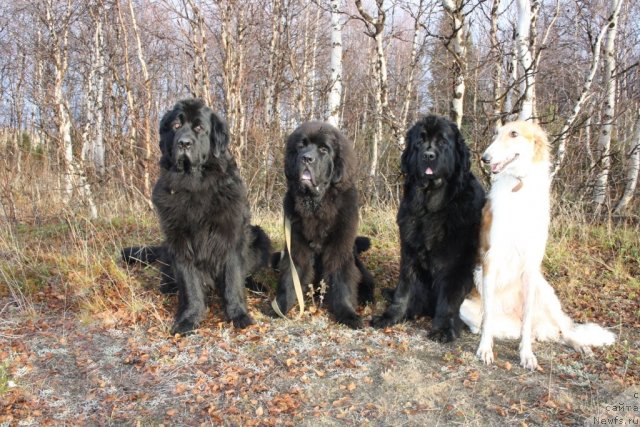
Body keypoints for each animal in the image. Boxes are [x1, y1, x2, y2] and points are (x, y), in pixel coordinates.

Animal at [370, 115, 484, 342]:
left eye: (442, 142)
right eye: (419, 142)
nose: (428, 155)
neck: (431, 207)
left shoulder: (457, 263)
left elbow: (449, 297)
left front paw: (443, 329)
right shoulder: (409, 252)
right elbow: (404, 290)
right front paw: (390, 316)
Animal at [460, 120, 616, 372]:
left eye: (514, 133)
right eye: (496, 134)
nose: (485, 158)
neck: (519, 185)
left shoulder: (531, 263)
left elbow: (527, 325)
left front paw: (526, 355)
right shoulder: (490, 258)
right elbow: (488, 321)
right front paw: (485, 349)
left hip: (544, 292)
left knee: (561, 330)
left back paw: (580, 345)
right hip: (469, 306)